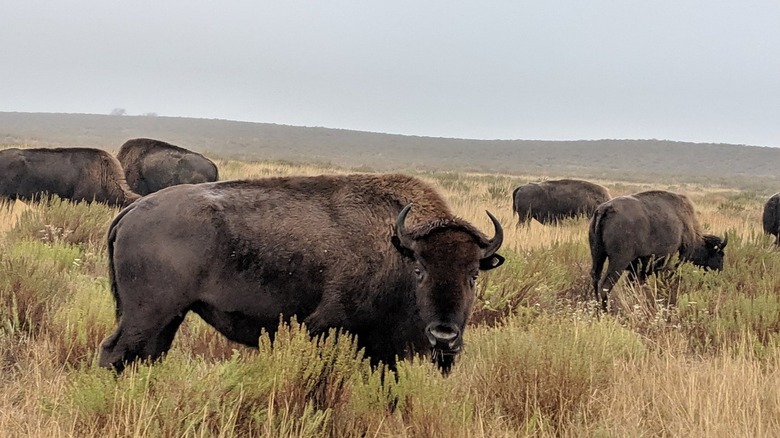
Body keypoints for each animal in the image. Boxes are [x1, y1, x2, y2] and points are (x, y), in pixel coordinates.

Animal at [99, 173, 505, 374]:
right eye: (419, 269)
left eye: (474, 274)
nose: (444, 335)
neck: (395, 246)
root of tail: (132, 211)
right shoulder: (328, 328)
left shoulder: (380, 351)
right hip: (147, 314)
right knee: (115, 352)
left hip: (169, 317)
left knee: (147, 355)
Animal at [589, 190, 727, 311]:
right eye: (720, 255)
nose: (719, 274)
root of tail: (605, 209)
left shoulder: (639, 270)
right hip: (618, 262)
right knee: (605, 286)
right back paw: (606, 312)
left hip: (598, 256)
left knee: (596, 279)